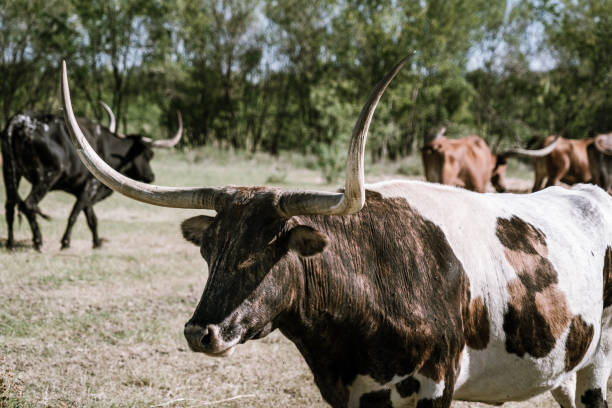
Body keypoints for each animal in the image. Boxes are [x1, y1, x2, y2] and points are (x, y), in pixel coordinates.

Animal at [1, 109, 182, 249]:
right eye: (148, 155)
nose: (151, 176)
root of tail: (20, 120)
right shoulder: (92, 185)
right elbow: (75, 214)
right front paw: (65, 242)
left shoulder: (86, 190)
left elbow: (91, 217)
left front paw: (96, 242)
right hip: (47, 176)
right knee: (28, 204)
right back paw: (38, 240)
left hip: (10, 172)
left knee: (10, 207)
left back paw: (11, 243)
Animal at [59, 59, 608, 408]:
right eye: (209, 250)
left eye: (269, 250)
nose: (201, 332)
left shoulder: (437, 384)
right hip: (565, 370)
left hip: (598, 365)